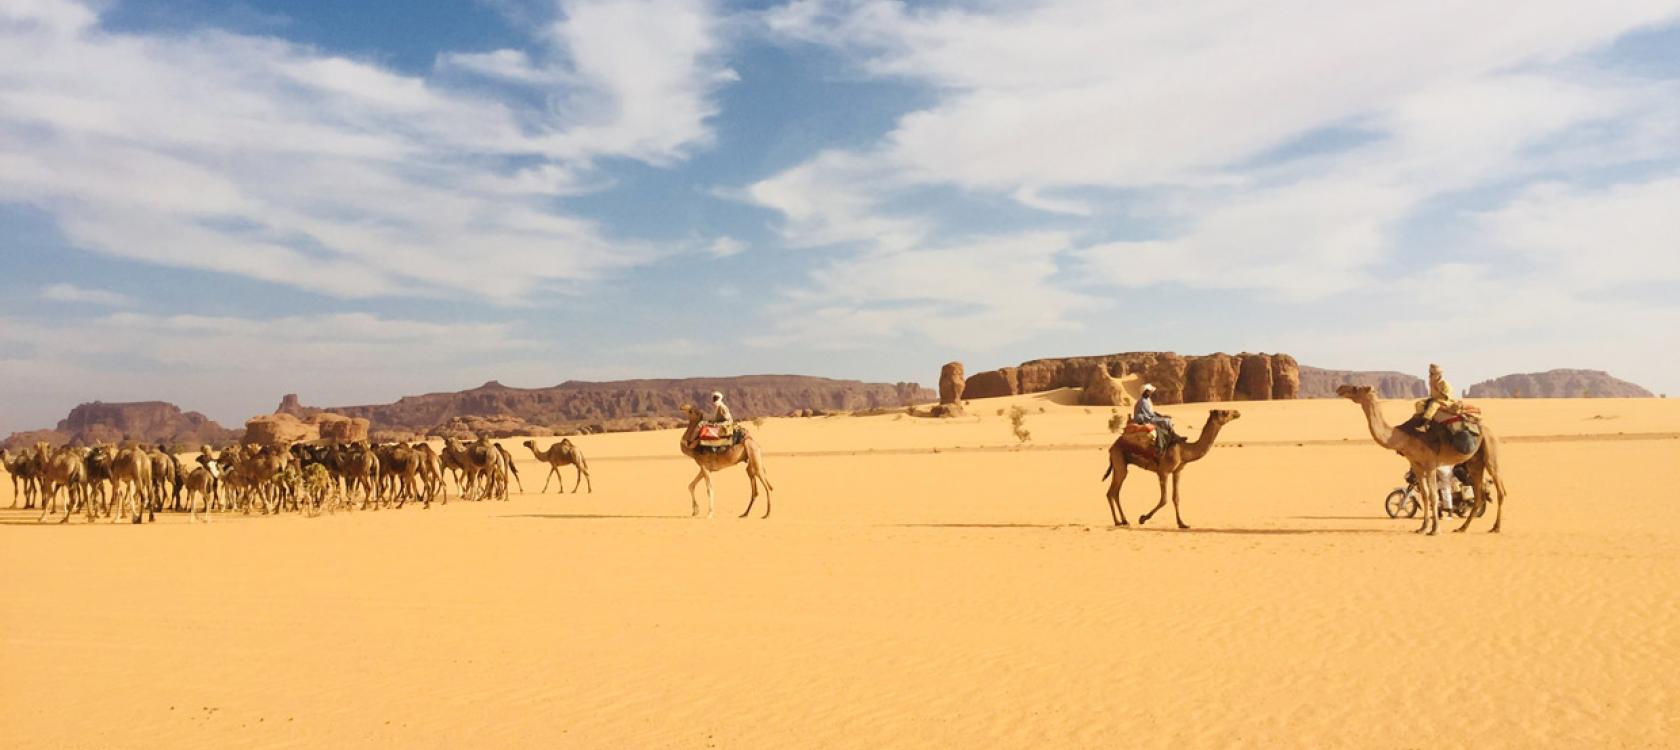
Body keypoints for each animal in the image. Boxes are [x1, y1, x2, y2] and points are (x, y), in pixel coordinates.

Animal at [1095, 410, 1243, 528]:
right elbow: (1164, 499)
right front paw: (1143, 518)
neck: (1184, 451)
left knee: (1115, 492)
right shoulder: (1163, 472)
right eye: (1225, 413)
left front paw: (1182, 523)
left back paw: (1123, 520)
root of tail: (1113, 446)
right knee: (1112, 492)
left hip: (1119, 464)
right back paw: (1118, 521)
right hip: (1119, 461)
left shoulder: (1177, 471)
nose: (1237, 412)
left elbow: (1176, 497)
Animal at [1337, 386, 1512, 534]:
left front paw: (1435, 530)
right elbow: (1425, 495)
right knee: (1478, 495)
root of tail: (1486, 428)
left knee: (1500, 490)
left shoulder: (1430, 464)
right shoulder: (1417, 464)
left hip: (1491, 451)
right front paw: (1422, 528)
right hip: (1474, 462)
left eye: (1356, 388)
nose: (1341, 389)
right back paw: (1462, 528)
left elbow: (1434, 496)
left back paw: (1496, 528)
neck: (1404, 437)